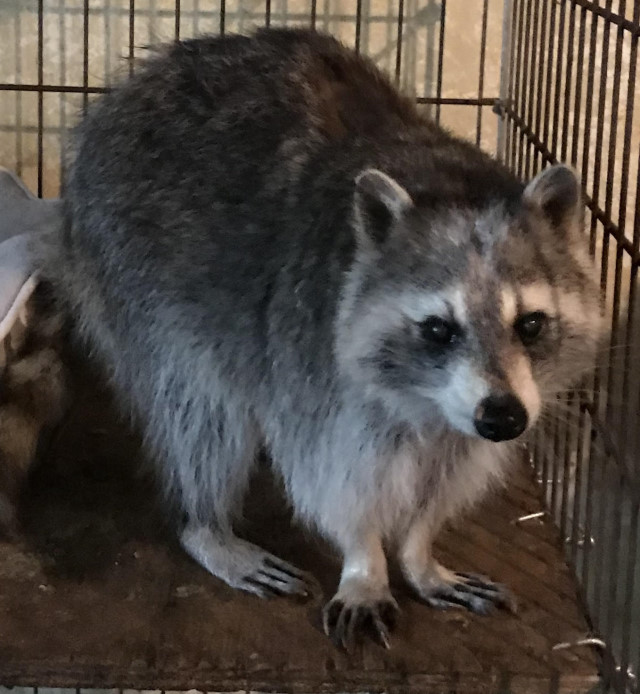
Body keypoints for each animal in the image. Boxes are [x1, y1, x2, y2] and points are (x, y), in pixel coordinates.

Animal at [42, 27, 603, 649]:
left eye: (530, 324)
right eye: (438, 328)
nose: (503, 418)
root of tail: (125, 91)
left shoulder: (473, 412)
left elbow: (448, 468)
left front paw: (419, 550)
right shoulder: (310, 352)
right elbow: (332, 474)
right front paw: (365, 562)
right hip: (134, 264)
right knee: (201, 412)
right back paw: (203, 522)